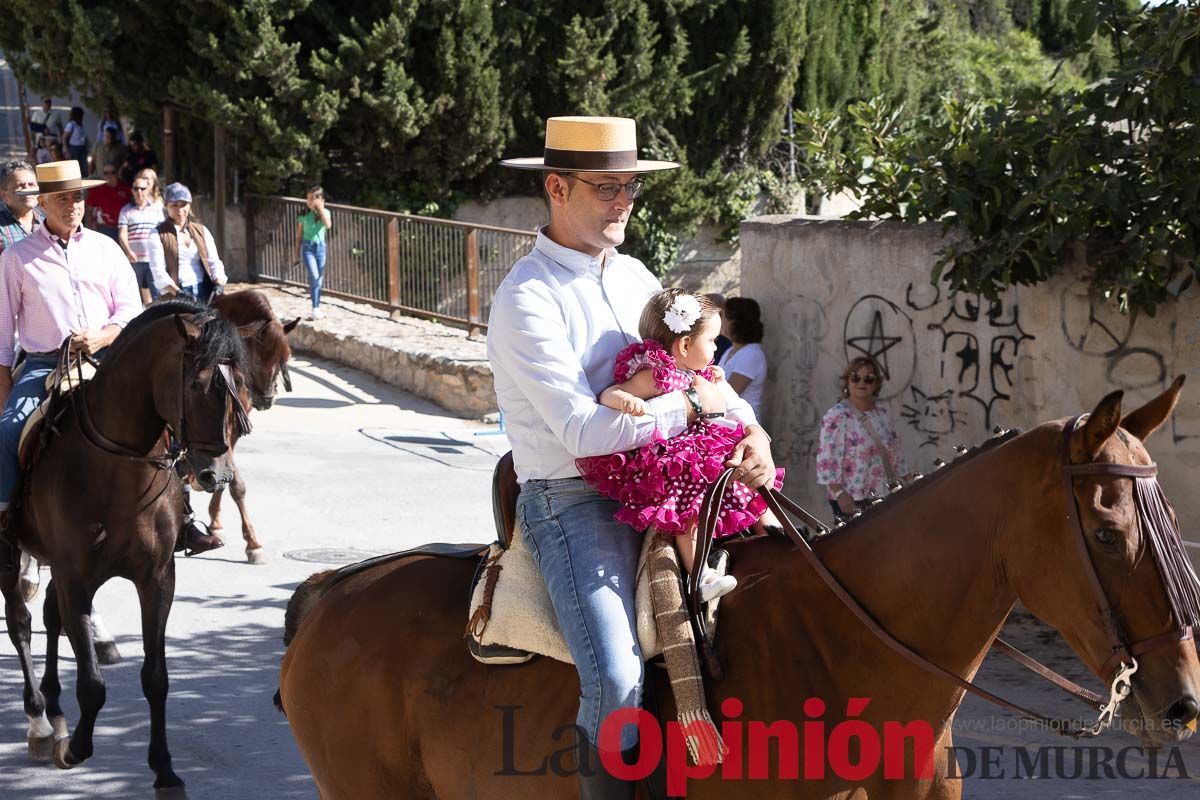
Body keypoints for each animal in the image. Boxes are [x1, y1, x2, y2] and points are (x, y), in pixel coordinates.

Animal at [0, 302, 250, 796]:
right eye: (197, 384)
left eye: (240, 385)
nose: (218, 475)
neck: (116, 469)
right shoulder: (77, 578)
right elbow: (93, 683)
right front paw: (73, 749)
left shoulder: (157, 578)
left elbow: (156, 677)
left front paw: (165, 771)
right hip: (6, 552)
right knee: (20, 624)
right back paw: (40, 722)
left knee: (49, 617)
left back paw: (55, 710)